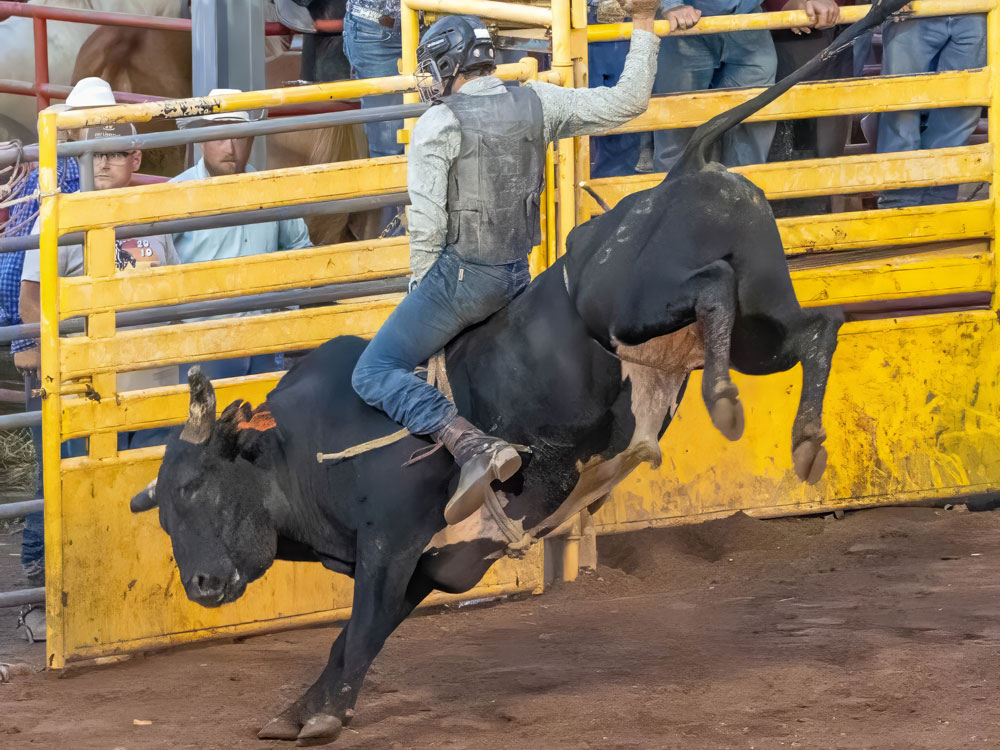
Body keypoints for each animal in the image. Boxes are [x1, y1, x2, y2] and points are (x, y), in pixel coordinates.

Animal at [128, 2, 905, 744]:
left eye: (197, 489)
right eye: (163, 511)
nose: (201, 585)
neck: (306, 444)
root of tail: (684, 169)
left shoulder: (389, 547)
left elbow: (359, 634)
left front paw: (320, 716)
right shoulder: (424, 566)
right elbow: (355, 640)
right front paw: (300, 709)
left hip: (635, 307)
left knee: (713, 287)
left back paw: (721, 400)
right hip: (759, 325)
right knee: (817, 329)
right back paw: (803, 440)